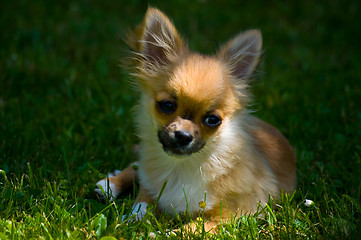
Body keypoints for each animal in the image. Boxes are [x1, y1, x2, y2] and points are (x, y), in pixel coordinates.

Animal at [95, 7, 296, 232]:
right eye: (167, 105)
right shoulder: (151, 187)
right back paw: (110, 184)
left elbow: (191, 228)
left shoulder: (235, 213)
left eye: (213, 120)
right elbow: (141, 204)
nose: (182, 136)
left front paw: (163, 233)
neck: (180, 167)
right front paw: (133, 221)